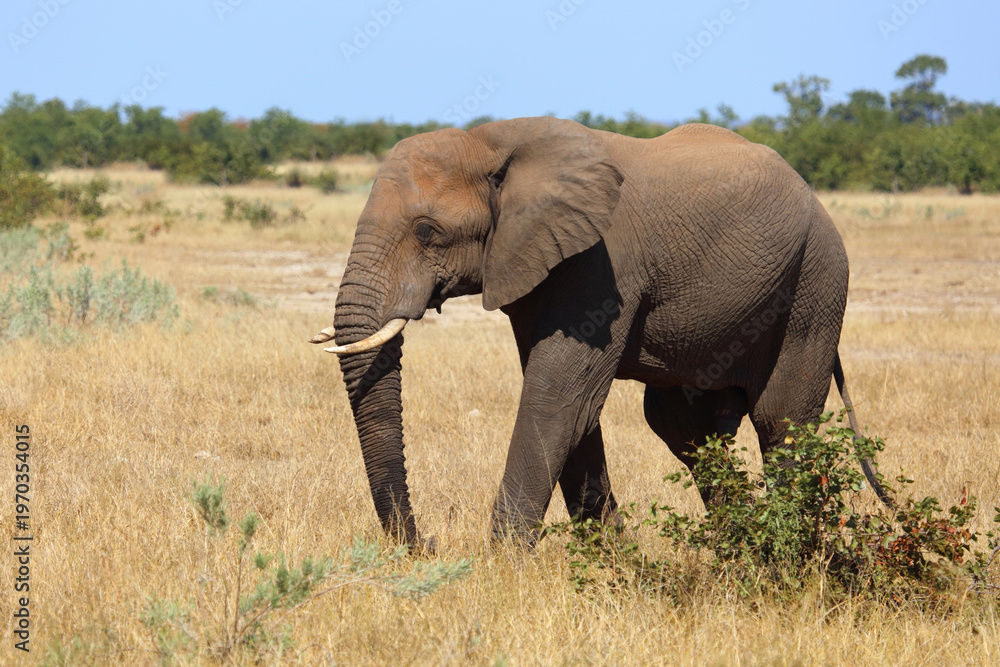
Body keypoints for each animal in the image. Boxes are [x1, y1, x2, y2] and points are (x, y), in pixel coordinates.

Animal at [311, 116, 889, 548]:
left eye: (428, 231)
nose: (426, 542)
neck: (491, 139)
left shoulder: (600, 264)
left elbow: (557, 398)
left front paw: (503, 567)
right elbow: (572, 406)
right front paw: (616, 561)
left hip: (816, 283)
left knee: (780, 421)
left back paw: (787, 553)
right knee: (682, 426)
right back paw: (738, 543)